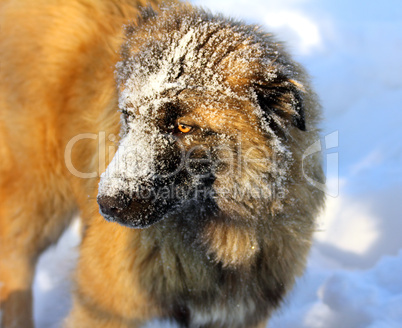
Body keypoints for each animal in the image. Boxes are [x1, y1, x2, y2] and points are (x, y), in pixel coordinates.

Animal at [0, 0, 326, 328]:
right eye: (129, 115)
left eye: (184, 127)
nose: (107, 205)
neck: (219, 236)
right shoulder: (104, 308)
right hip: (39, 203)